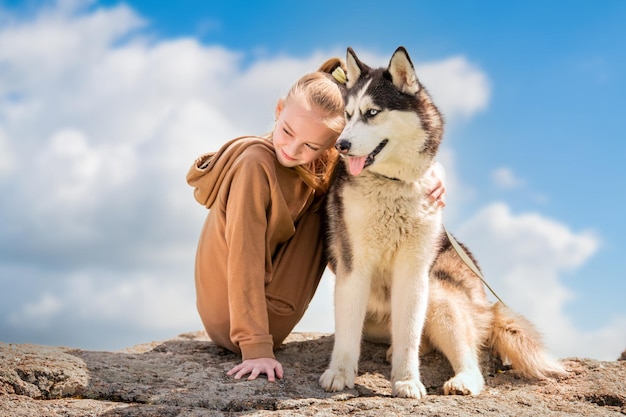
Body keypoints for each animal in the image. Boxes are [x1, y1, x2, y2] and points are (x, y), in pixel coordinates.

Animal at [320, 45, 564, 396]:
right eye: (348, 113)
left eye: (372, 112)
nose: (341, 145)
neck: (392, 184)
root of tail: (489, 304)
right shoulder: (354, 265)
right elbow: (348, 331)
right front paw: (340, 373)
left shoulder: (413, 271)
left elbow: (409, 333)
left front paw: (407, 380)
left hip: (437, 291)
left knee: (471, 359)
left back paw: (462, 380)